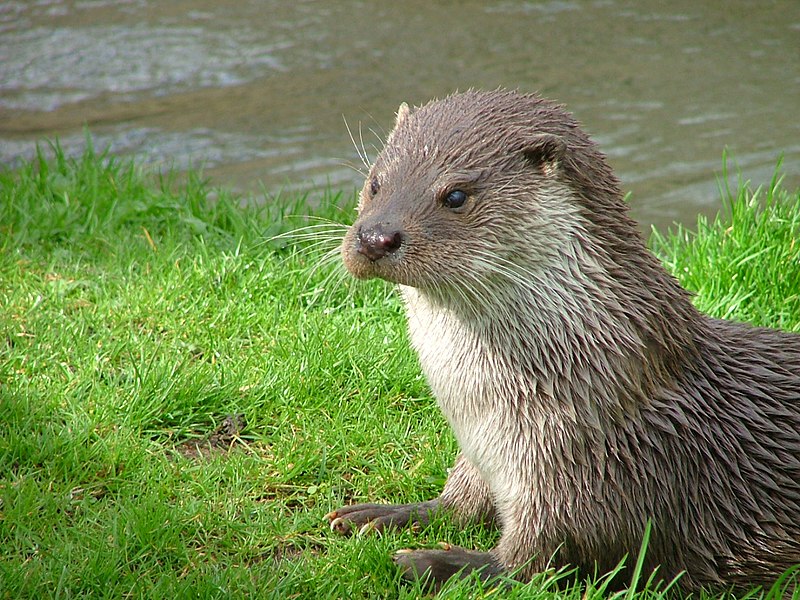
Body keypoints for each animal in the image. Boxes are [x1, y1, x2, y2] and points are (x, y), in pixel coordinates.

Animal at [324, 89, 800, 592]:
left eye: (455, 195)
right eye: (375, 183)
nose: (376, 237)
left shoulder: (591, 477)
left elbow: (537, 564)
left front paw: (428, 562)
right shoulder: (484, 459)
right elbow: (456, 506)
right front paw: (381, 515)